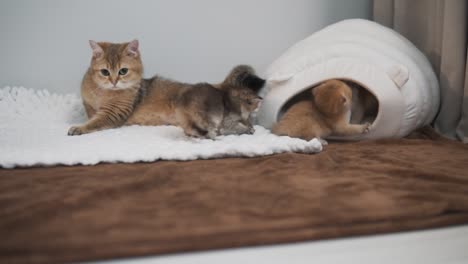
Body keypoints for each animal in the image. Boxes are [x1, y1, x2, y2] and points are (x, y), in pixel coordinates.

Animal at [68, 39, 264, 138]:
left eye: (123, 71)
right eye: (105, 72)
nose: (114, 81)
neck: (102, 92)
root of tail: (222, 85)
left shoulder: (114, 112)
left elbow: (96, 121)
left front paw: (78, 128)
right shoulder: (88, 104)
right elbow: (91, 115)